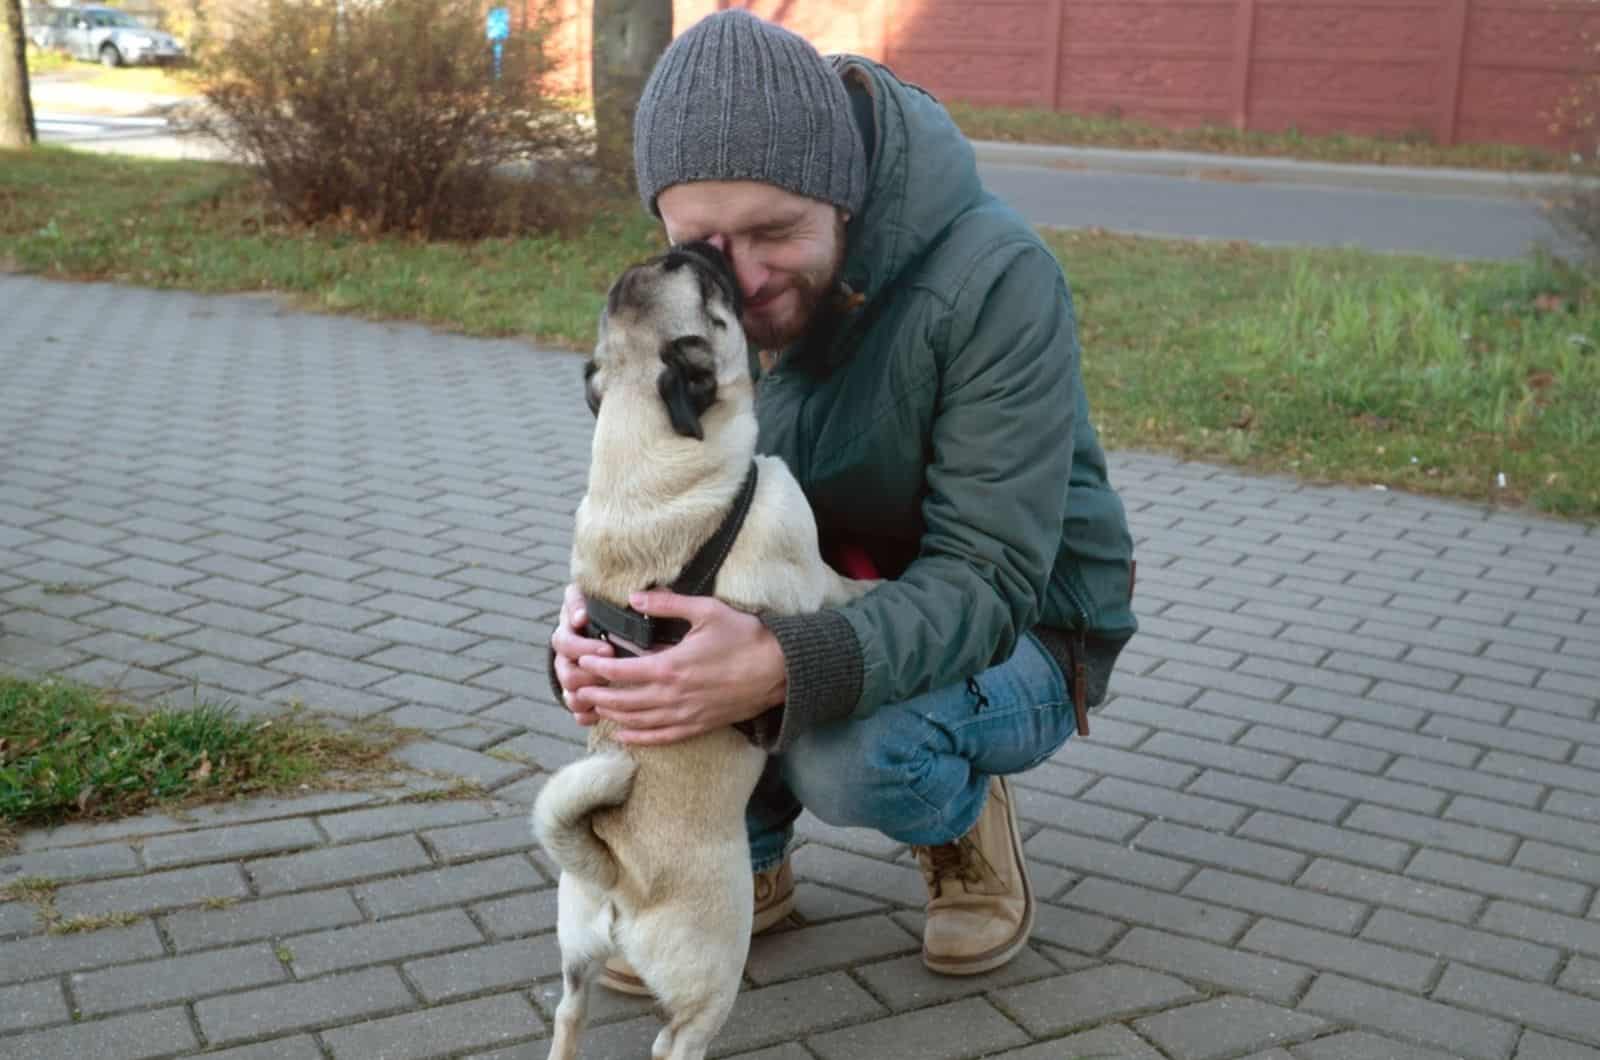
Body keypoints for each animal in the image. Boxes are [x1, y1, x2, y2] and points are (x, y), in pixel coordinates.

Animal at [531, 243, 870, 1060]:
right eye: (710, 286)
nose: (696, 245)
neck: (637, 453)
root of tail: (617, 876)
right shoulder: (798, 551)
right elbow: (835, 584)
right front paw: (872, 588)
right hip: (715, 967)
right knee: (673, 1044)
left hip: (575, 954)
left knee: (569, 1011)